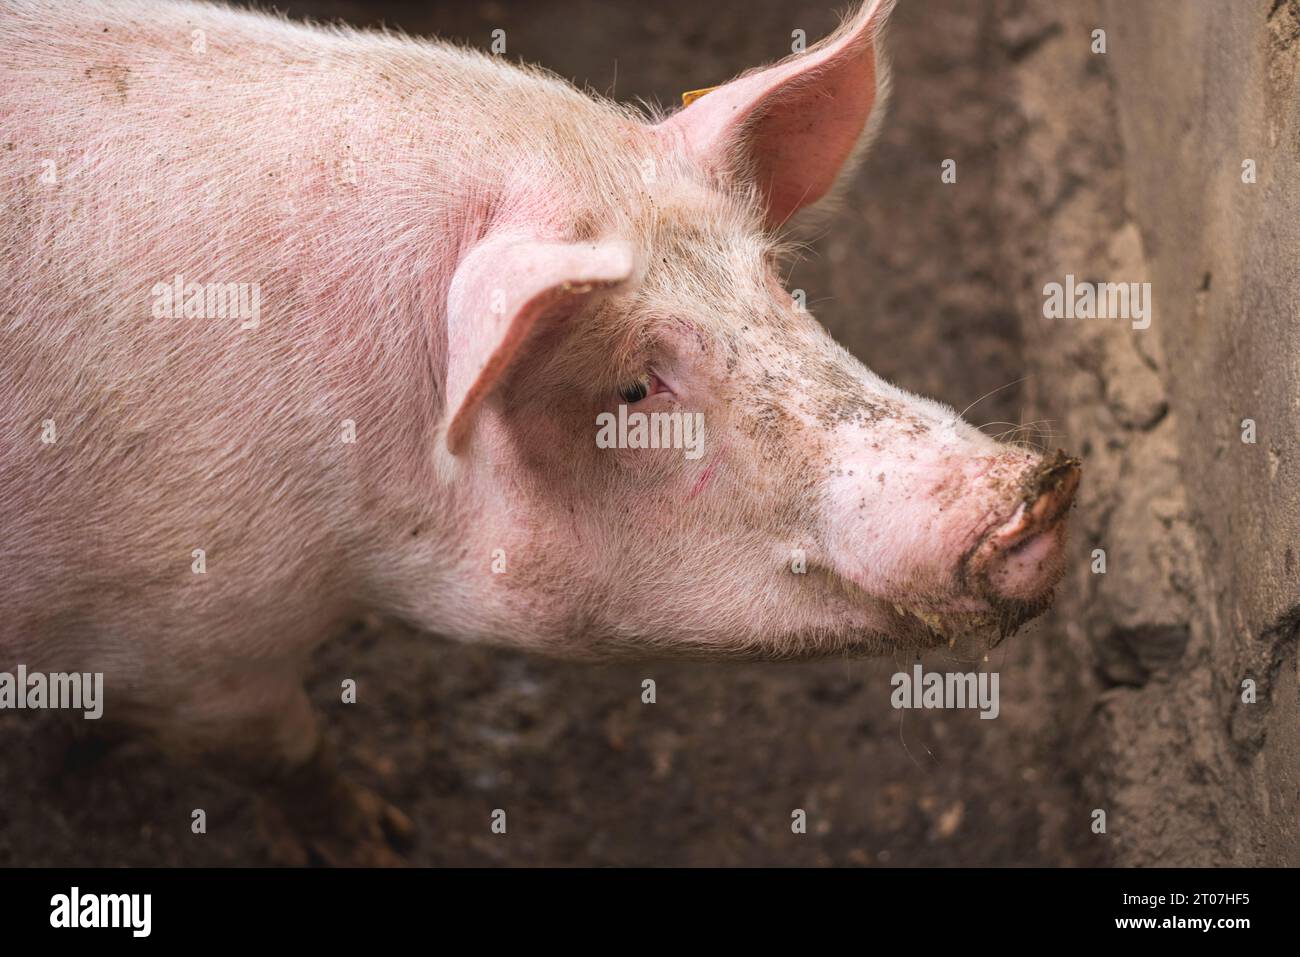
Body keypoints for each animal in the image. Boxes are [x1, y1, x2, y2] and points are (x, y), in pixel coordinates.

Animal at [0, 0, 1076, 868]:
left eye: (776, 290)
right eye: (634, 386)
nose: (1038, 486)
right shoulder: (181, 645)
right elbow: (283, 750)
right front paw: (381, 841)